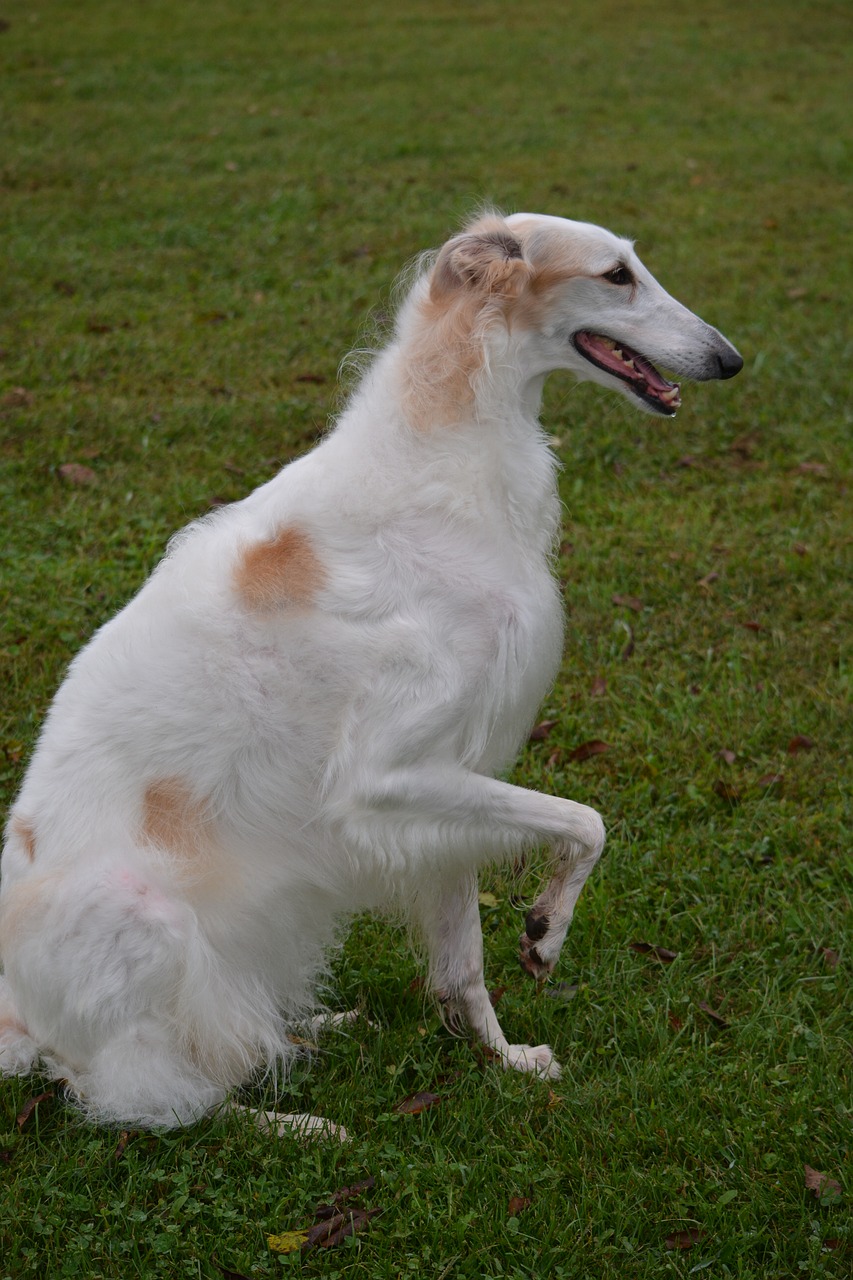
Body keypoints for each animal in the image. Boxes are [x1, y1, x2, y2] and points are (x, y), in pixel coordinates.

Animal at [0, 209, 737, 1121]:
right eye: (615, 276)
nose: (728, 358)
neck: (438, 450)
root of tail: (19, 1019)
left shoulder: (448, 786)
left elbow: (463, 966)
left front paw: (503, 1056)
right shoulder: (382, 778)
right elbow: (587, 820)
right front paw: (545, 931)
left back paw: (318, 1025)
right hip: (151, 927)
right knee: (145, 1099)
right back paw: (295, 1121)